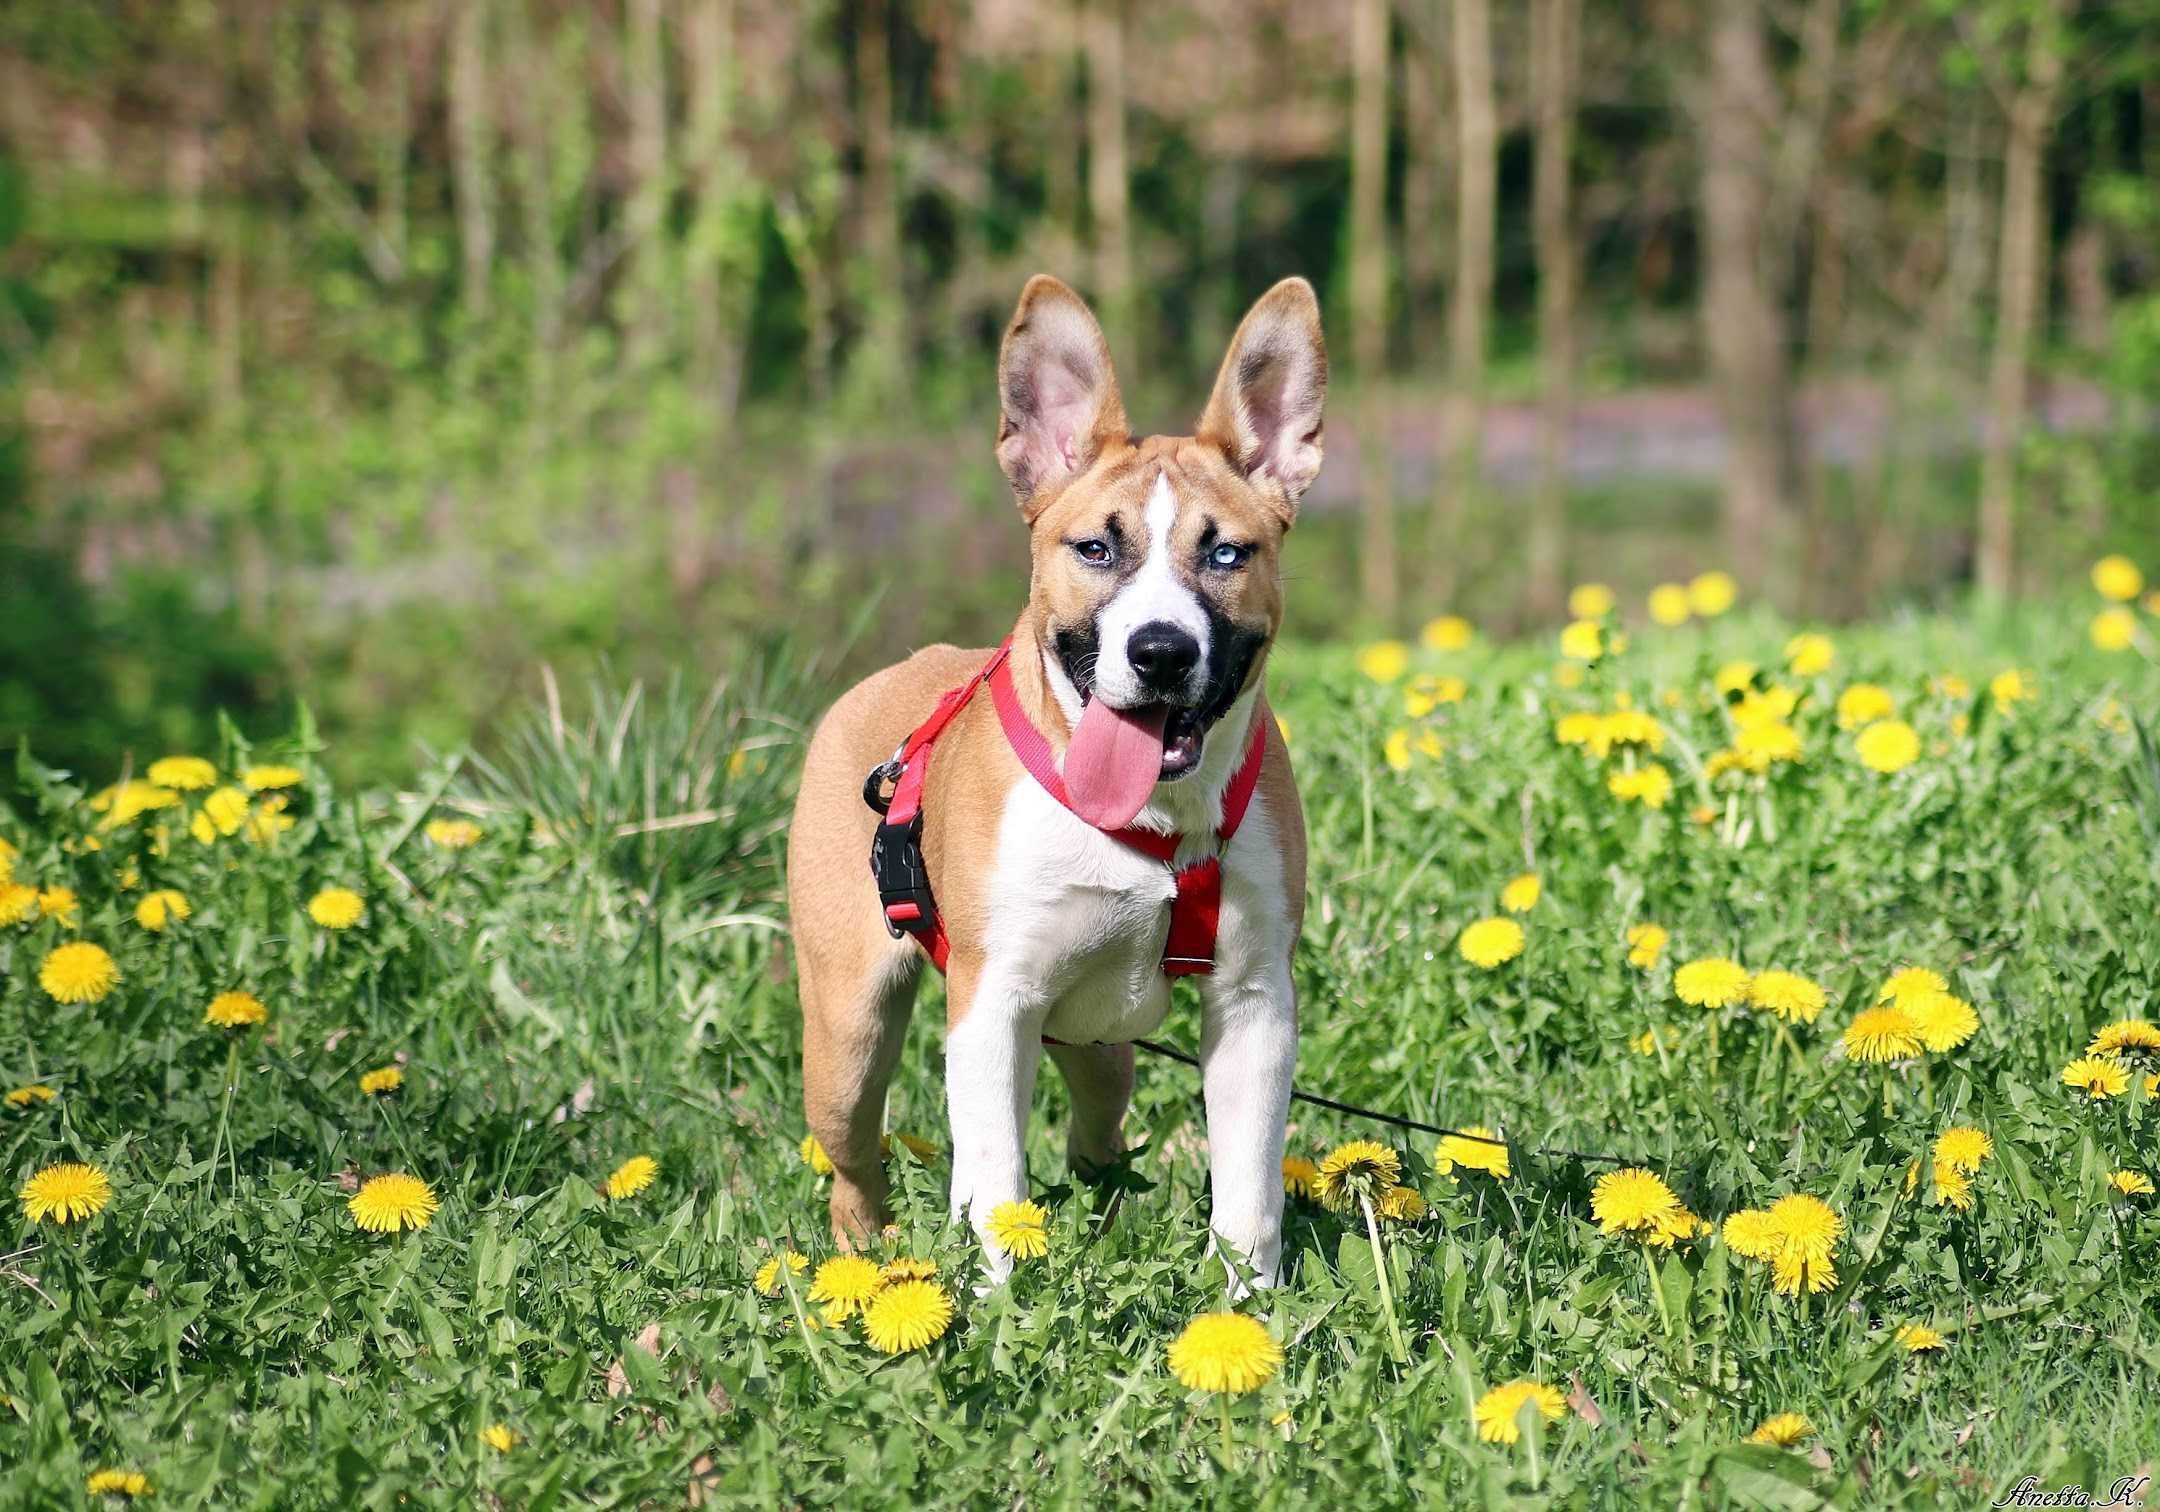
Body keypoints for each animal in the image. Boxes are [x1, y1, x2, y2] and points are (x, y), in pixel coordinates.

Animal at [786, 274, 1321, 1287]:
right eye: (1095, 550)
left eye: (1226, 553)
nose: (1160, 652)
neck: (1153, 824)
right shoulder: (993, 1005)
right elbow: (996, 1169)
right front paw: (998, 1298)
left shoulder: (1253, 1005)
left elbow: (1249, 1191)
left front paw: (1248, 1303)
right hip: (848, 1040)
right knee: (857, 1167)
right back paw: (869, 1264)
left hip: (1102, 1046)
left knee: (1096, 1139)